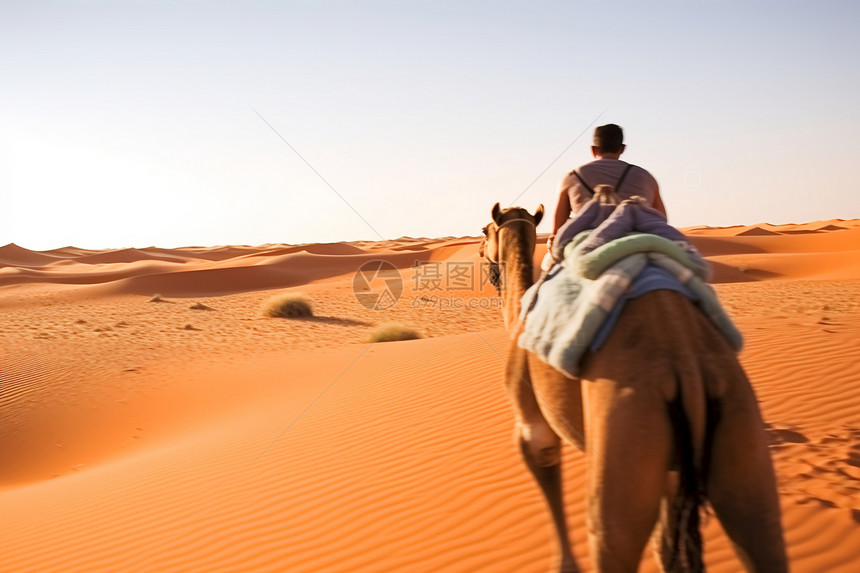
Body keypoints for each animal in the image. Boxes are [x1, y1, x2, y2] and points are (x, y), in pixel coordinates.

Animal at [480, 202, 788, 572]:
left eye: (484, 231)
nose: (479, 251)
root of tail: (688, 369)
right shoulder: (672, 473)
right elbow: (667, 546)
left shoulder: (533, 425)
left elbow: (544, 463)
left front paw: (565, 565)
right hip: (741, 435)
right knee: (757, 528)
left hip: (622, 452)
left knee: (611, 534)